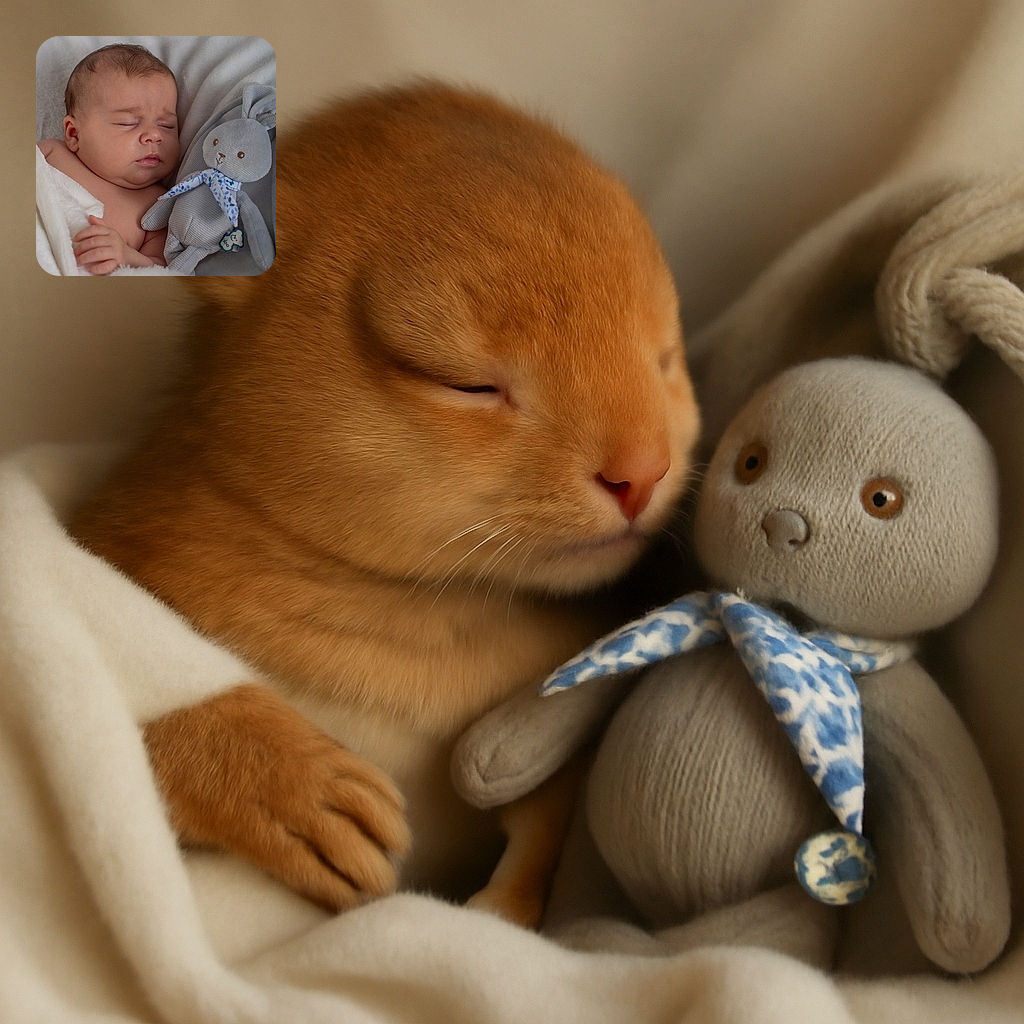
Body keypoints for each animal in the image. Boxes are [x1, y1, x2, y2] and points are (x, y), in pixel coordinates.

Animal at [71, 82, 700, 923]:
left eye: (664, 358)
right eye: (465, 384)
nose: (643, 472)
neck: (426, 604)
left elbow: (546, 823)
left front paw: (503, 912)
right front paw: (282, 784)